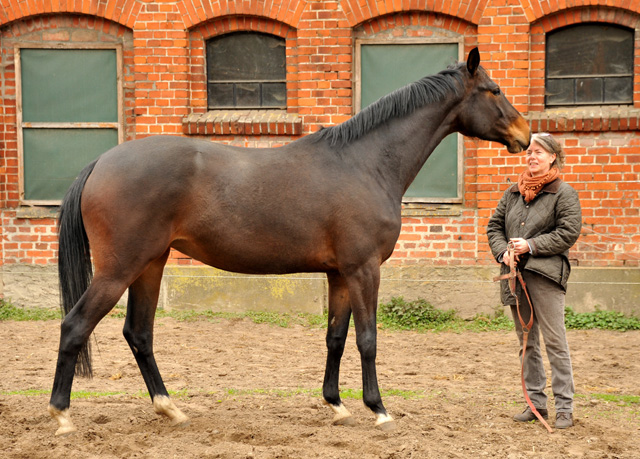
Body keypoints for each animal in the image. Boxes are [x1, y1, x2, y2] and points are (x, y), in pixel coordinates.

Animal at [48, 48, 528, 436]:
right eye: (494, 89)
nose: (525, 135)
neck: (366, 164)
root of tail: (100, 162)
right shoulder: (363, 270)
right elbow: (367, 338)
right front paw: (379, 410)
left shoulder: (339, 274)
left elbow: (336, 337)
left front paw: (336, 405)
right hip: (119, 269)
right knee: (75, 326)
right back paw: (62, 416)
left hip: (150, 264)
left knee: (139, 333)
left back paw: (171, 410)